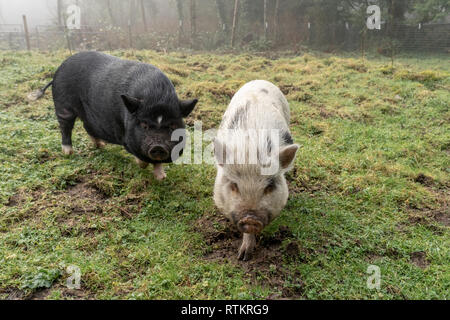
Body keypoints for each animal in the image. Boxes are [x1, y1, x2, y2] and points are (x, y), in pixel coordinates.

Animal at [28, 51, 197, 179]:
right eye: (144, 125)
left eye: (172, 125)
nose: (158, 146)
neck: (157, 96)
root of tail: (57, 73)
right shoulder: (127, 138)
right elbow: (141, 157)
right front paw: (142, 166)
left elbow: (157, 162)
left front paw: (162, 178)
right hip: (63, 105)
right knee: (65, 127)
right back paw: (68, 153)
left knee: (87, 126)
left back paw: (100, 145)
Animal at [214, 79, 298, 260]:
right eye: (234, 185)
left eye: (269, 187)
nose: (250, 219)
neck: (251, 146)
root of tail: (260, 80)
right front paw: (242, 256)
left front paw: (244, 255)